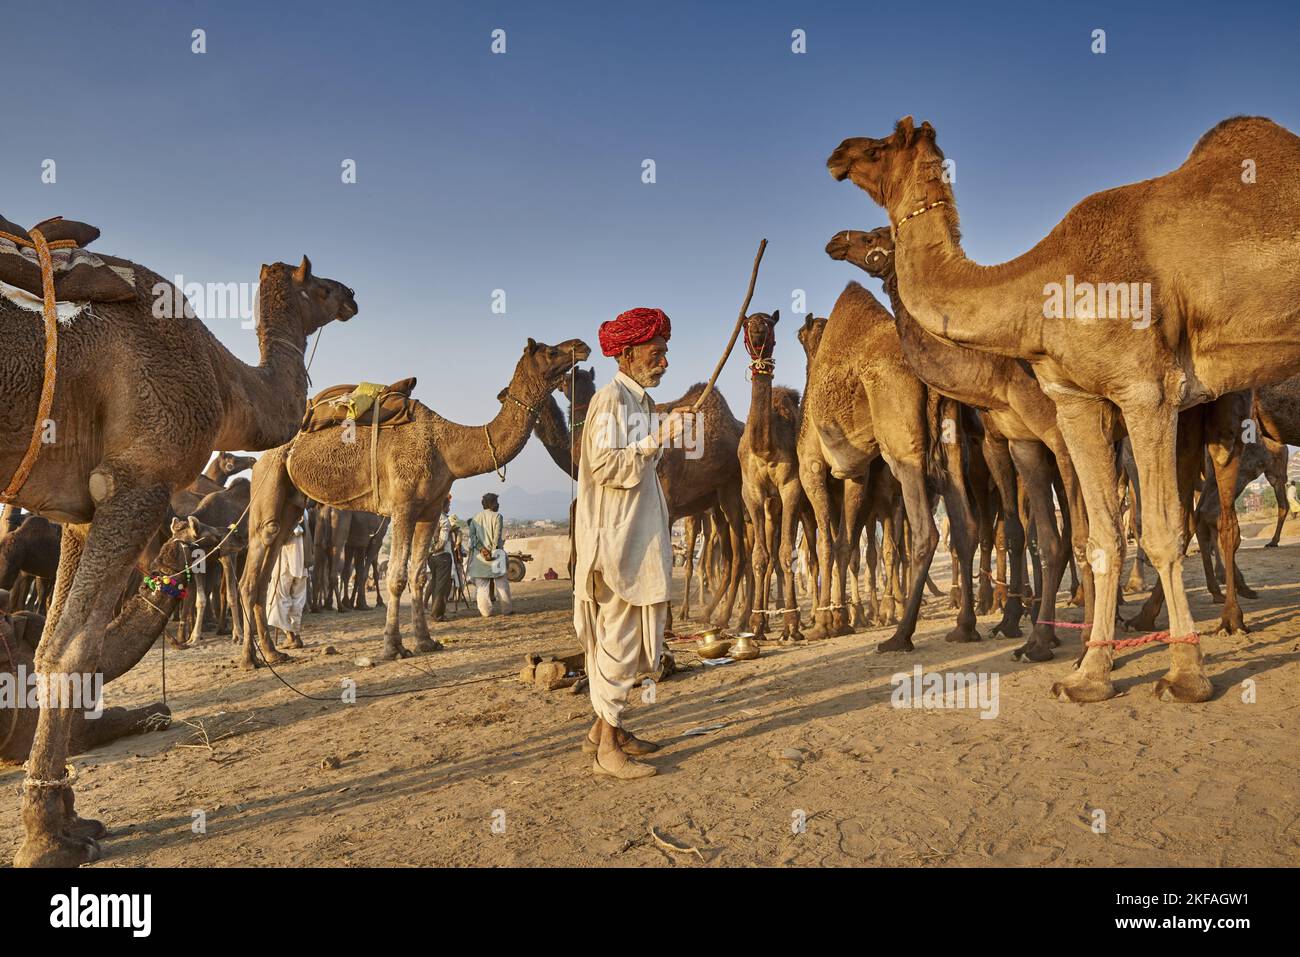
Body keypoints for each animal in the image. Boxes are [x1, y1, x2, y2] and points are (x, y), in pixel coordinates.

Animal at [2, 245, 356, 866]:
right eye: (322, 286)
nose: (353, 297)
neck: (220, 377)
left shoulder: (77, 510)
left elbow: (46, 649)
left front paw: (71, 818)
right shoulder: (138, 481)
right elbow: (72, 650)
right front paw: (46, 838)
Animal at [239, 337, 590, 667]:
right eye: (549, 351)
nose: (581, 346)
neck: (446, 446)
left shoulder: (430, 510)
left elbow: (419, 575)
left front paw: (425, 641)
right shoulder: (403, 506)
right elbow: (396, 576)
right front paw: (393, 647)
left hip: (291, 502)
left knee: (267, 567)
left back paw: (271, 653)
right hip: (269, 478)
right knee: (255, 565)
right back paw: (250, 658)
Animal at [826, 227, 1096, 660]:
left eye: (871, 238)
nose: (836, 241)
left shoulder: (1042, 435)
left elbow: (1055, 532)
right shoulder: (1007, 439)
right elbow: (1025, 531)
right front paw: (1016, 626)